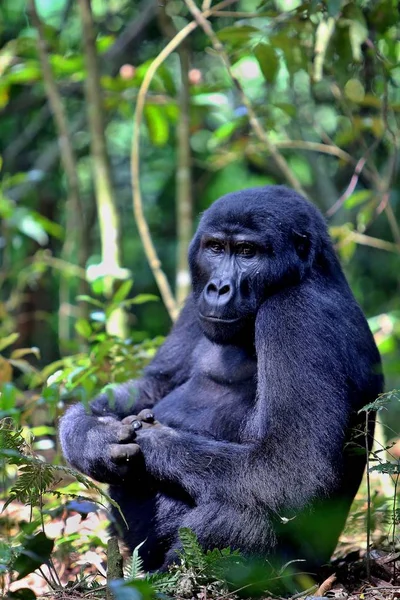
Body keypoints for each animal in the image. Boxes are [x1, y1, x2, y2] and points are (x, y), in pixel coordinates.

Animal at [58, 186, 382, 572]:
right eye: (215, 248)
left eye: (247, 252)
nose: (218, 288)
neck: (310, 274)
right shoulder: (192, 302)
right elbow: (154, 384)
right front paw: (89, 436)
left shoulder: (299, 314)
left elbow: (294, 469)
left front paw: (152, 440)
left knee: (243, 513)